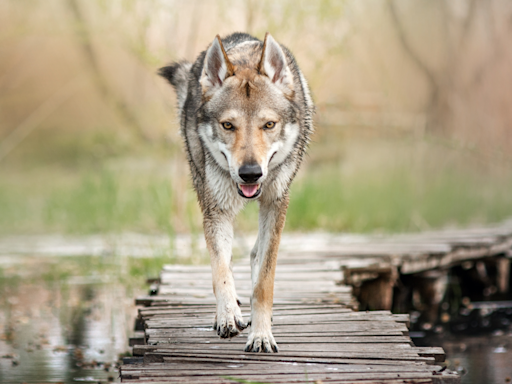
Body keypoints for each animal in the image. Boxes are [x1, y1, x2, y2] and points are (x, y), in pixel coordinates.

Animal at [160, 31, 314, 352]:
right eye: (228, 125)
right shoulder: (215, 210)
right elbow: (220, 271)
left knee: (255, 254)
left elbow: (264, 281)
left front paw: (261, 334)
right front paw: (229, 315)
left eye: (269, 124)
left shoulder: (275, 204)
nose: (250, 173)